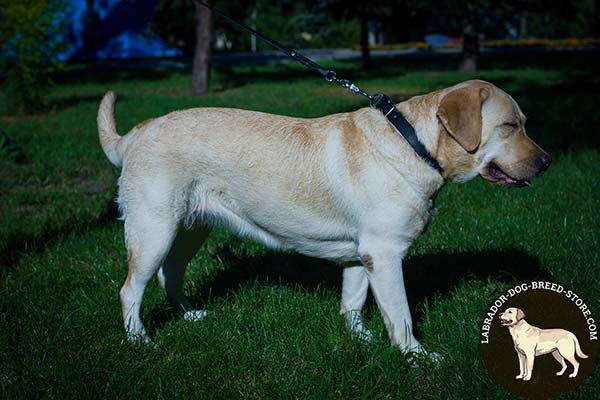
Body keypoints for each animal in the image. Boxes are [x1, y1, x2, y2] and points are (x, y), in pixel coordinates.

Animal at [99, 79, 552, 354]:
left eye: (524, 123)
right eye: (510, 126)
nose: (548, 162)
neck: (415, 145)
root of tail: (135, 134)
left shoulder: (361, 255)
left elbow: (352, 303)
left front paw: (362, 340)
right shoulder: (385, 254)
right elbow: (401, 316)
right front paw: (418, 358)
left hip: (191, 229)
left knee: (168, 275)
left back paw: (190, 316)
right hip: (154, 229)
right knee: (130, 289)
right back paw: (140, 342)